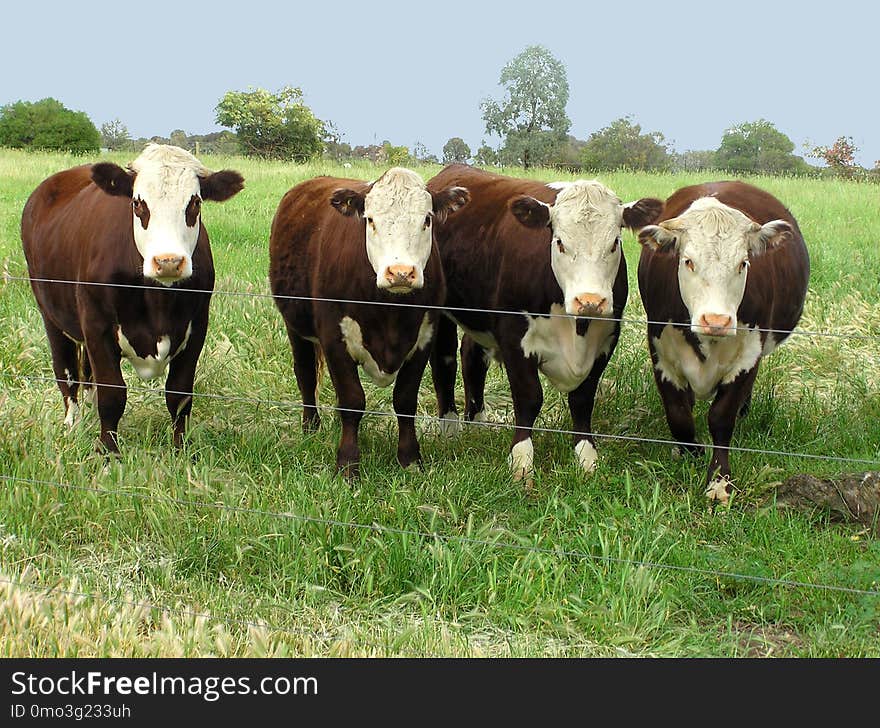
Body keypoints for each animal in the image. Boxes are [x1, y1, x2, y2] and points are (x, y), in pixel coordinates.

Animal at [21, 144, 248, 452]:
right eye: (138, 204)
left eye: (195, 203)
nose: (168, 261)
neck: (158, 301)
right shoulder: (97, 327)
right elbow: (112, 395)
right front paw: (109, 453)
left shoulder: (197, 327)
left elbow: (179, 395)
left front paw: (181, 451)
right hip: (51, 316)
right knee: (67, 374)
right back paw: (73, 425)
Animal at [268, 168, 470, 480]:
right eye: (370, 219)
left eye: (426, 219)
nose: (401, 272)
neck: (390, 311)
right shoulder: (334, 338)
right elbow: (352, 401)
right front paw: (348, 464)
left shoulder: (424, 338)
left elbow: (405, 401)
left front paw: (410, 460)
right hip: (295, 326)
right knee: (305, 375)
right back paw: (310, 427)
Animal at [426, 162, 660, 486]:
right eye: (559, 243)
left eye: (614, 243)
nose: (590, 300)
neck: (576, 328)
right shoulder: (514, 334)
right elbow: (529, 397)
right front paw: (521, 461)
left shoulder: (607, 337)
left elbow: (583, 398)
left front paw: (586, 457)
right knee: (445, 361)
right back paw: (450, 428)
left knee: (472, 355)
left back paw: (478, 423)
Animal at [632, 179, 812, 504]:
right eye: (688, 262)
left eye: (743, 263)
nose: (716, 320)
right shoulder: (661, 352)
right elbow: (679, 415)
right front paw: (690, 453)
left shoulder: (748, 356)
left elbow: (721, 417)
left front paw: (719, 481)